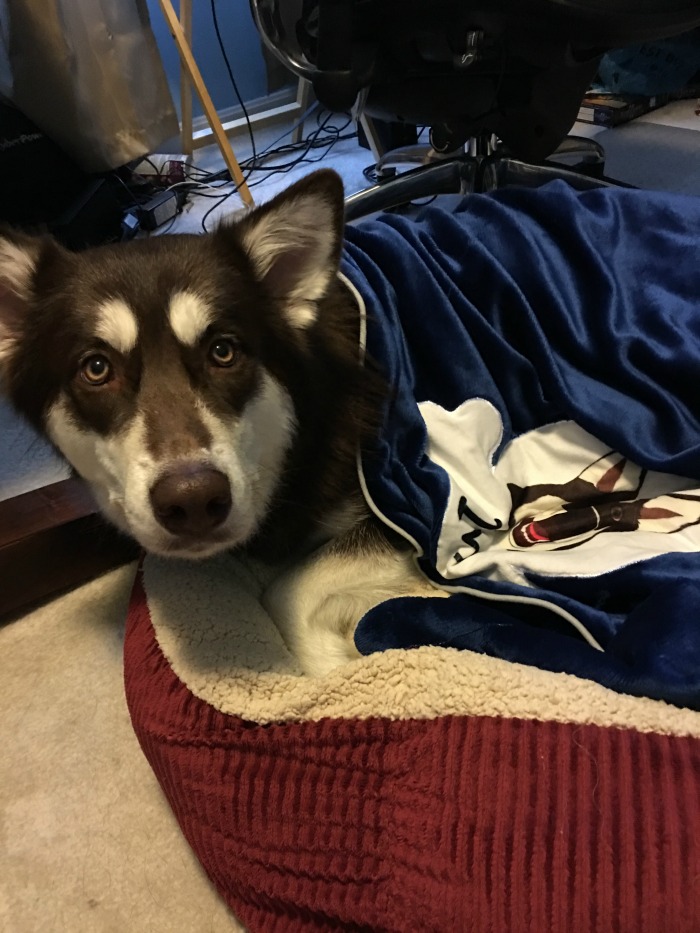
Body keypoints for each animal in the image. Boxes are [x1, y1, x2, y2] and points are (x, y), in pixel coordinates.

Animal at [0, 171, 442, 672]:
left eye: (223, 351)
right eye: (96, 368)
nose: (192, 500)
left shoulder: (406, 516)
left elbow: (287, 592)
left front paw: (342, 661)